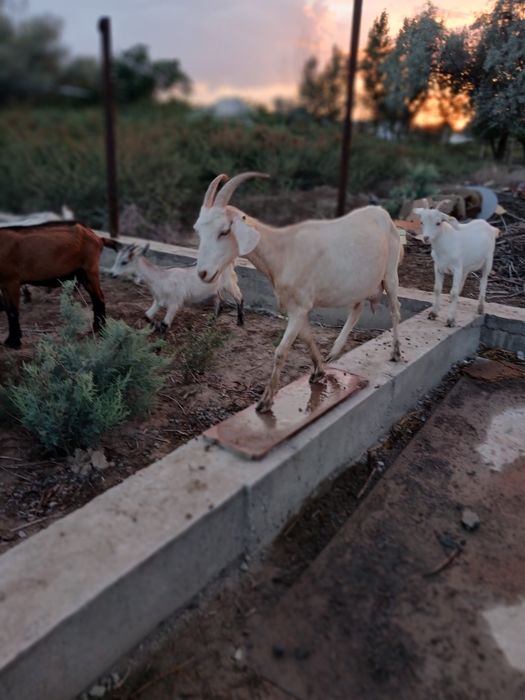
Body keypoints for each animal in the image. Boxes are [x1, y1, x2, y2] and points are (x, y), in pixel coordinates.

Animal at [110, 243, 244, 334]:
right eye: (116, 259)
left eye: (124, 262)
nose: (112, 274)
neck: (161, 278)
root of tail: (230, 261)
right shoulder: (158, 301)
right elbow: (146, 316)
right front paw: (155, 326)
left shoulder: (175, 303)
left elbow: (165, 325)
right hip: (214, 289)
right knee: (219, 301)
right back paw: (211, 323)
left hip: (230, 283)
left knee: (239, 297)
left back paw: (240, 322)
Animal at [194, 172, 403, 413]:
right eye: (199, 231)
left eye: (224, 231)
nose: (203, 273)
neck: (284, 252)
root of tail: (383, 214)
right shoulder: (297, 308)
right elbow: (308, 338)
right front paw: (319, 370)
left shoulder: (299, 308)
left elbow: (280, 351)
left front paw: (265, 402)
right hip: (360, 283)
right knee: (357, 308)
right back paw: (334, 351)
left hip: (390, 273)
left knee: (395, 309)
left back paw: (396, 352)